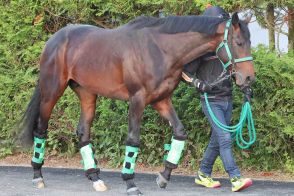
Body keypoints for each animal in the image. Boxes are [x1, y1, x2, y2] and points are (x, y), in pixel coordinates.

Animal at [19, 11, 253, 194]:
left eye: (249, 43)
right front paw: (130, 183)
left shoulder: (161, 100)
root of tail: (54, 40)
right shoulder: (137, 99)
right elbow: (133, 140)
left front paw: (164, 176)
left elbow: (179, 133)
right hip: (51, 92)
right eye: (238, 43)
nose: (249, 78)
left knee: (83, 132)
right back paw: (38, 175)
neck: (160, 50)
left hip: (87, 93)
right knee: (41, 129)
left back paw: (95, 178)